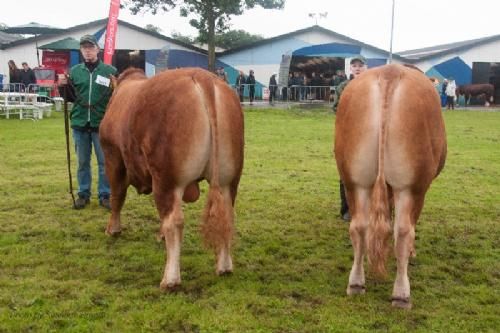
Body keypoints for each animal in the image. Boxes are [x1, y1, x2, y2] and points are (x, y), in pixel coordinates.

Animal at [99, 67, 244, 288]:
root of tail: (202, 76)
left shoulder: (113, 157)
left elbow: (117, 196)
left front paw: (113, 229)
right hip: (229, 179)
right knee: (227, 215)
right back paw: (224, 267)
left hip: (167, 179)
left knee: (174, 220)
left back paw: (170, 280)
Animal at [334, 64, 448, 308]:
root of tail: (390, 72)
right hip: (411, 187)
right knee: (404, 231)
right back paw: (401, 294)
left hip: (355, 180)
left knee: (359, 226)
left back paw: (356, 283)